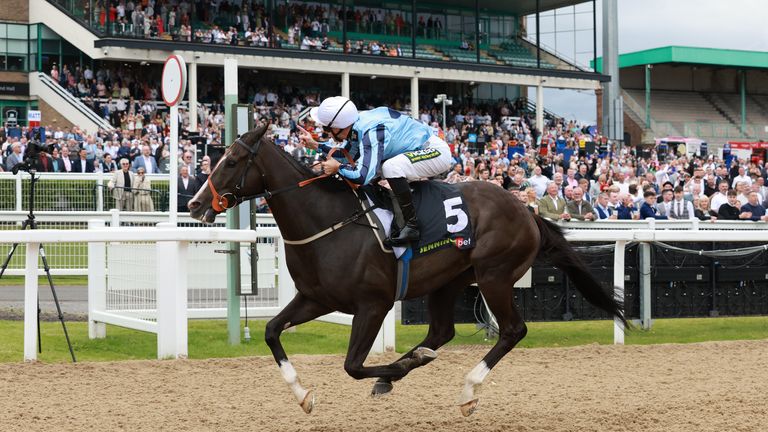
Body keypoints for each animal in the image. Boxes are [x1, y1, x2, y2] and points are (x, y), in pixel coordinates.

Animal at [189, 125, 628, 416]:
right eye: (217, 157)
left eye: (231, 160)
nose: (195, 204)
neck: (328, 222)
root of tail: (526, 210)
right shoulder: (316, 298)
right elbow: (270, 330)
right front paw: (303, 394)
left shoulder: (373, 304)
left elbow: (352, 366)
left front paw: (397, 367)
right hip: (447, 281)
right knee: (441, 332)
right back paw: (410, 365)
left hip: (495, 275)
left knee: (512, 330)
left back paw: (467, 389)